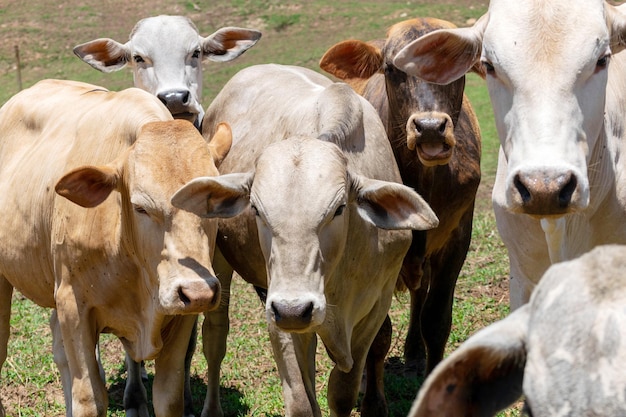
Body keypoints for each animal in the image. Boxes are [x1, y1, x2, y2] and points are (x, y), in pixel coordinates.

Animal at [0, 79, 232, 416]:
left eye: (211, 201)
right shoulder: (73, 306)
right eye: (141, 207)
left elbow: (168, 397)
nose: (197, 291)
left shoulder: (183, 316)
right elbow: (90, 398)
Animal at [168, 63, 436, 416]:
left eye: (339, 208)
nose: (294, 309)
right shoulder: (275, 308)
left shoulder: (375, 307)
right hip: (221, 264)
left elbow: (342, 391)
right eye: (256, 209)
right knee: (215, 336)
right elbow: (301, 402)